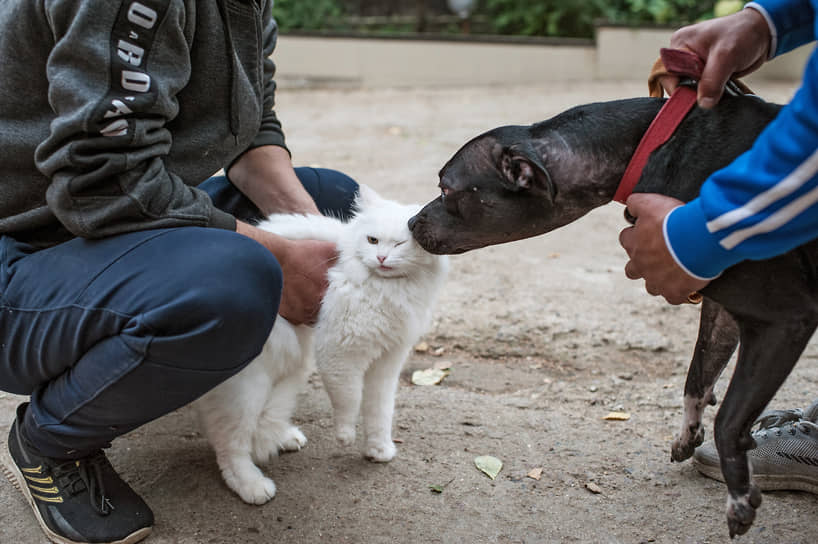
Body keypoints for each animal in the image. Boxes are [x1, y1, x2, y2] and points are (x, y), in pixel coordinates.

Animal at [193, 187, 446, 506]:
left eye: (400, 243)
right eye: (372, 240)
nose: (381, 258)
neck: (387, 287)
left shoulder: (386, 363)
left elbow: (379, 411)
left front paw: (378, 449)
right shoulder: (340, 354)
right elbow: (349, 400)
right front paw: (346, 436)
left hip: (289, 365)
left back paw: (284, 438)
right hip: (250, 385)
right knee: (229, 443)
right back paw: (252, 485)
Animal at [408, 95, 816, 536]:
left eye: (446, 189)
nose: (410, 222)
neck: (649, 146)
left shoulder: (783, 318)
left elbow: (728, 421)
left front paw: (739, 497)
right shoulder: (721, 305)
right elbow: (698, 375)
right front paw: (687, 434)